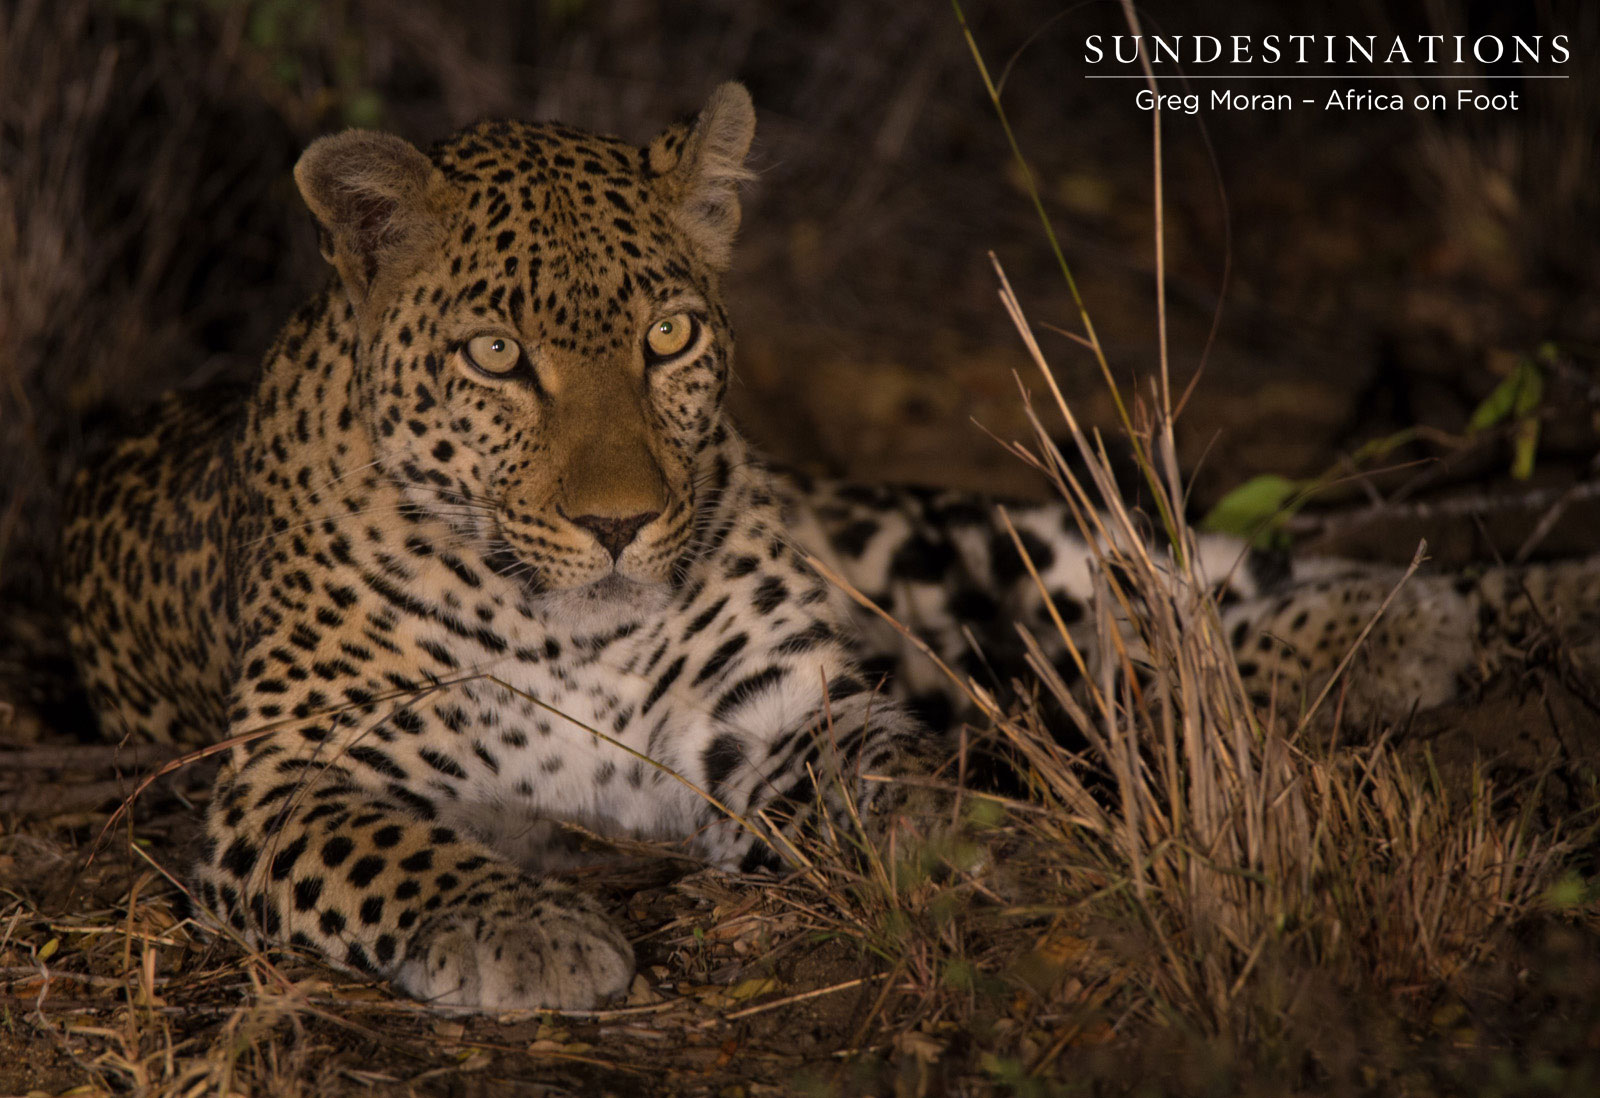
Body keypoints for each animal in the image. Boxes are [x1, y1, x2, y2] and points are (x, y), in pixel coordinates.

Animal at [59, 81, 1598, 1013]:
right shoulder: (287, 775)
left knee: (1173, 591)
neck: (565, 621)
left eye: (668, 335)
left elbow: (886, 764)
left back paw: (1432, 620)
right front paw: (525, 930)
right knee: (1127, 648)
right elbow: (395, 845)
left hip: (961, 548)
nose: (618, 523)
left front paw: (965, 837)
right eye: (498, 357)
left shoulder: (768, 712)